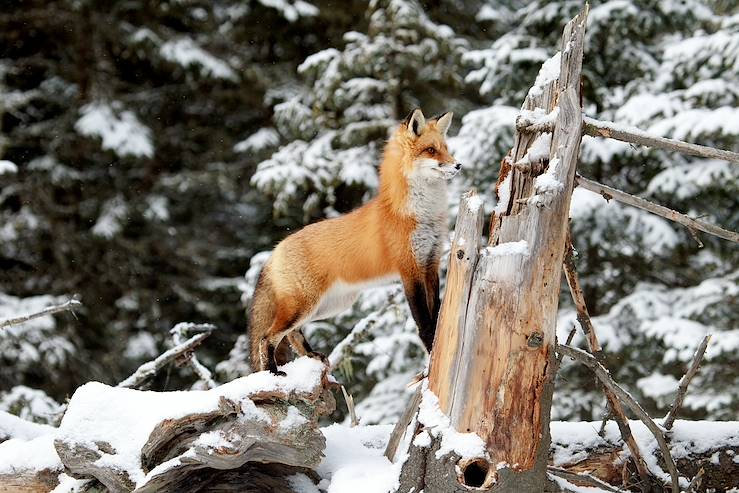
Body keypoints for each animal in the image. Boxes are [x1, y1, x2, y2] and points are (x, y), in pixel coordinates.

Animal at [251, 109, 460, 374]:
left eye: (446, 148)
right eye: (431, 150)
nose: (458, 165)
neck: (420, 215)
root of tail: (276, 248)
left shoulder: (430, 263)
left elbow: (435, 313)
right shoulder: (409, 269)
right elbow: (423, 321)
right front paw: (431, 352)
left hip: (328, 306)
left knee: (292, 334)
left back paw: (311, 355)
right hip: (304, 306)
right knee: (267, 337)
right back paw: (273, 371)